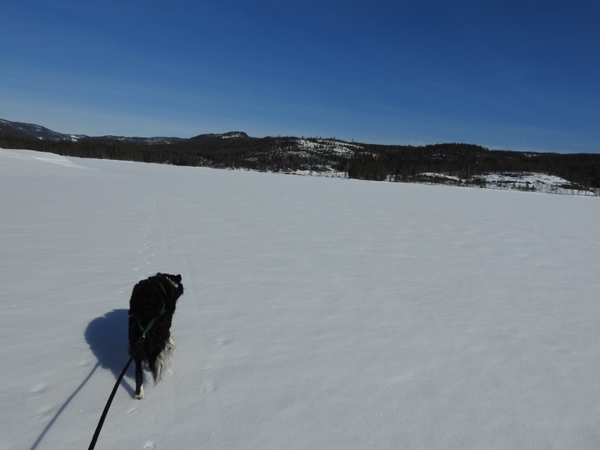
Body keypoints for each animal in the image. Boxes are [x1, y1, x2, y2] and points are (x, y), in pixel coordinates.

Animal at [126, 272, 183, 400]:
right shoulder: (167, 323)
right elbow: (170, 337)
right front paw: (172, 347)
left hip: (135, 339)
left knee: (138, 371)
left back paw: (139, 394)